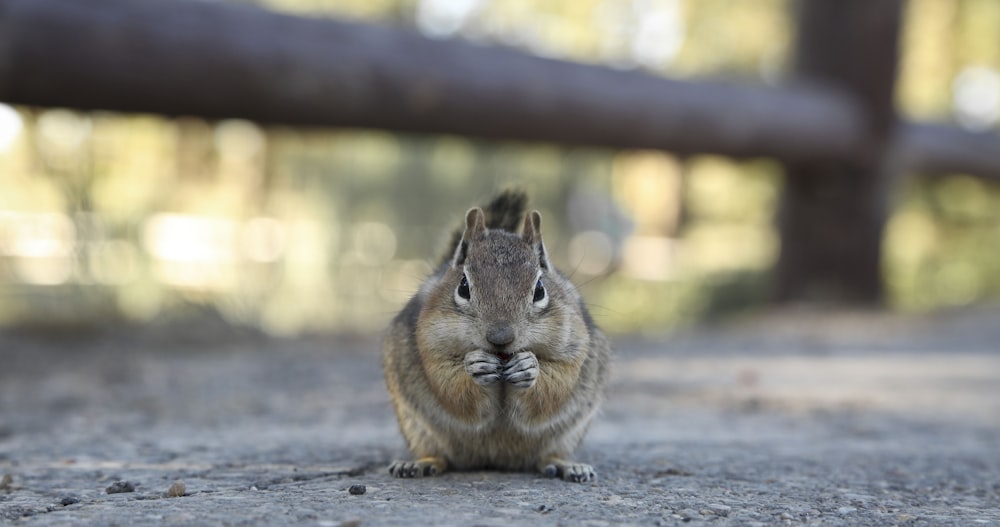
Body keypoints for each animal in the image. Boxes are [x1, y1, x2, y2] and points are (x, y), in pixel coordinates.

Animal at [380, 192, 608, 484]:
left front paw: (529, 367)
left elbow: (557, 382)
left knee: (545, 457)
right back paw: (419, 464)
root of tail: (495, 460)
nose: (500, 337)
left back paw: (566, 465)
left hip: (568, 434)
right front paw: (476, 366)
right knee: (440, 455)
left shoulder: (572, 347)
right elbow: (448, 384)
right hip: (416, 427)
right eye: (463, 286)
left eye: (540, 289)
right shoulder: (430, 345)